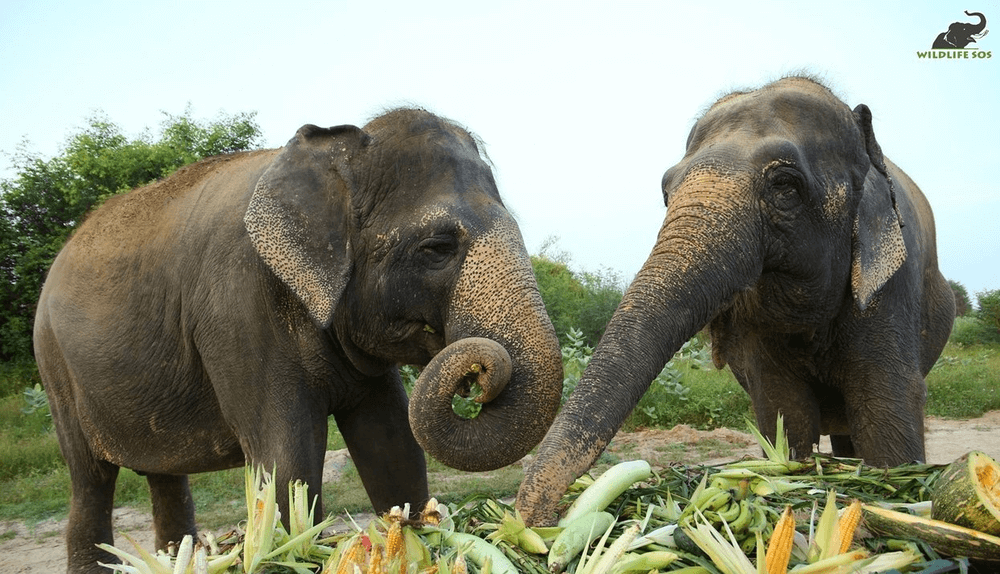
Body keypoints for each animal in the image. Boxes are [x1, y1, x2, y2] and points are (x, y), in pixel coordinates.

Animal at [33, 107, 564, 572]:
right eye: (437, 248)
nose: (480, 371)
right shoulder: (239, 311)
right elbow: (285, 467)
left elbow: (392, 444)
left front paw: (414, 532)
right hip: (55, 369)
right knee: (90, 482)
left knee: (163, 478)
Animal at [520, 79, 956, 528]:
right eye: (665, 191)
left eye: (785, 186)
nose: (540, 518)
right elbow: (785, 412)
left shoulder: (894, 286)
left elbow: (887, 413)